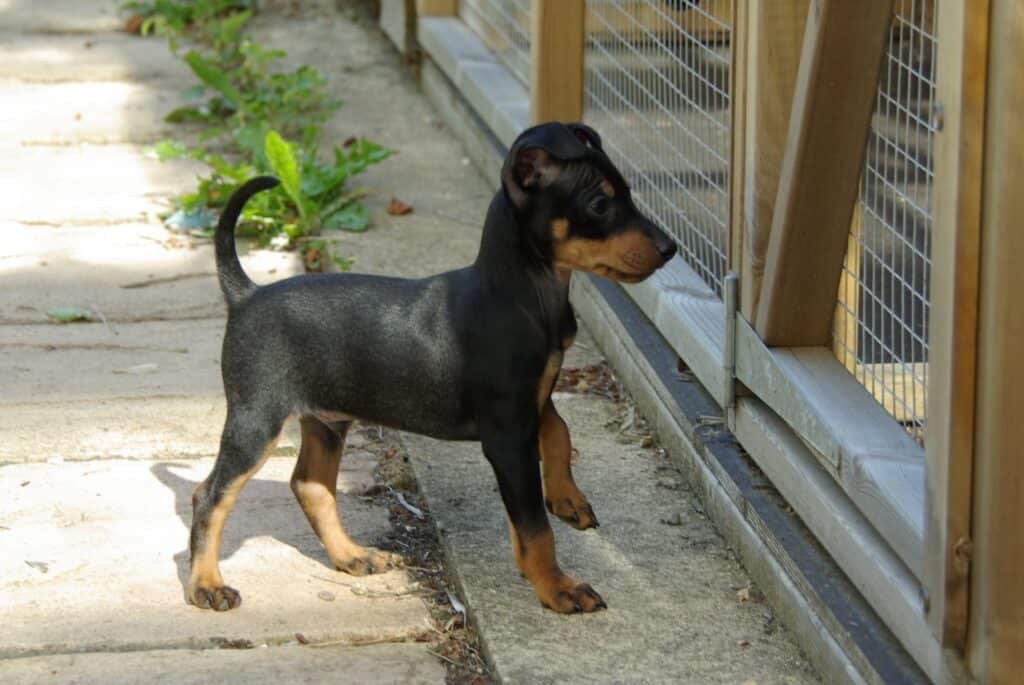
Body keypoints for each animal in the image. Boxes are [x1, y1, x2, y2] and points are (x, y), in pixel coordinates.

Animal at [188, 122, 675, 614]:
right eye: (599, 204)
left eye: (628, 194)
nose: (670, 249)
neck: (524, 291)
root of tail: (246, 294)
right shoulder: (507, 435)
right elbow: (535, 528)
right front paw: (558, 588)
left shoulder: (530, 402)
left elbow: (559, 432)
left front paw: (566, 497)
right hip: (257, 418)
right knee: (209, 496)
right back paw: (206, 585)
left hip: (327, 419)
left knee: (310, 485)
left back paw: (352, 555)